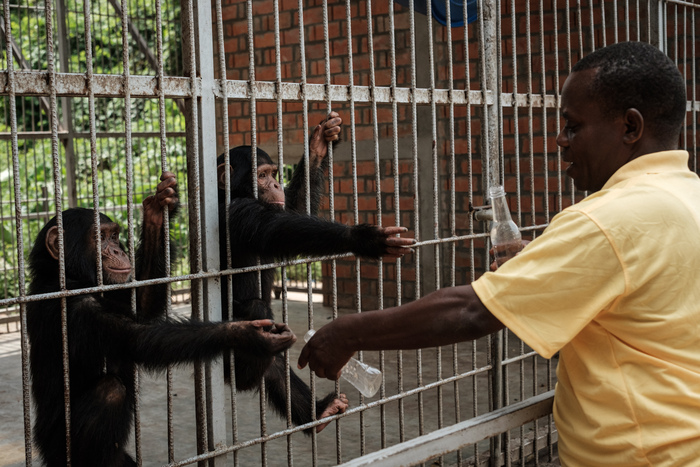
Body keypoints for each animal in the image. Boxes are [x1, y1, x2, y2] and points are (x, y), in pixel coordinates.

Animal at [26, 174, 296, 466]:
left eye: (113, 235)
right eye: (100, 237)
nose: (117, 251)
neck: (71, 280)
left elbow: (144, 306)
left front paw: (157, 209)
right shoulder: (77, 309)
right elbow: (140, 338)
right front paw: (248, 335)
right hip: (59, 448)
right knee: (110, 391)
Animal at [219, 113, 416, 436]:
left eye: (273, 172)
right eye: (261, 176)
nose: (276, 183)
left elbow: (295, 208)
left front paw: (320, 144)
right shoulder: (242, 213)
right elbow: (283, 229)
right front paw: (364, 238)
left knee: (276, 368)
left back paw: (321, 411)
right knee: (255, 312)